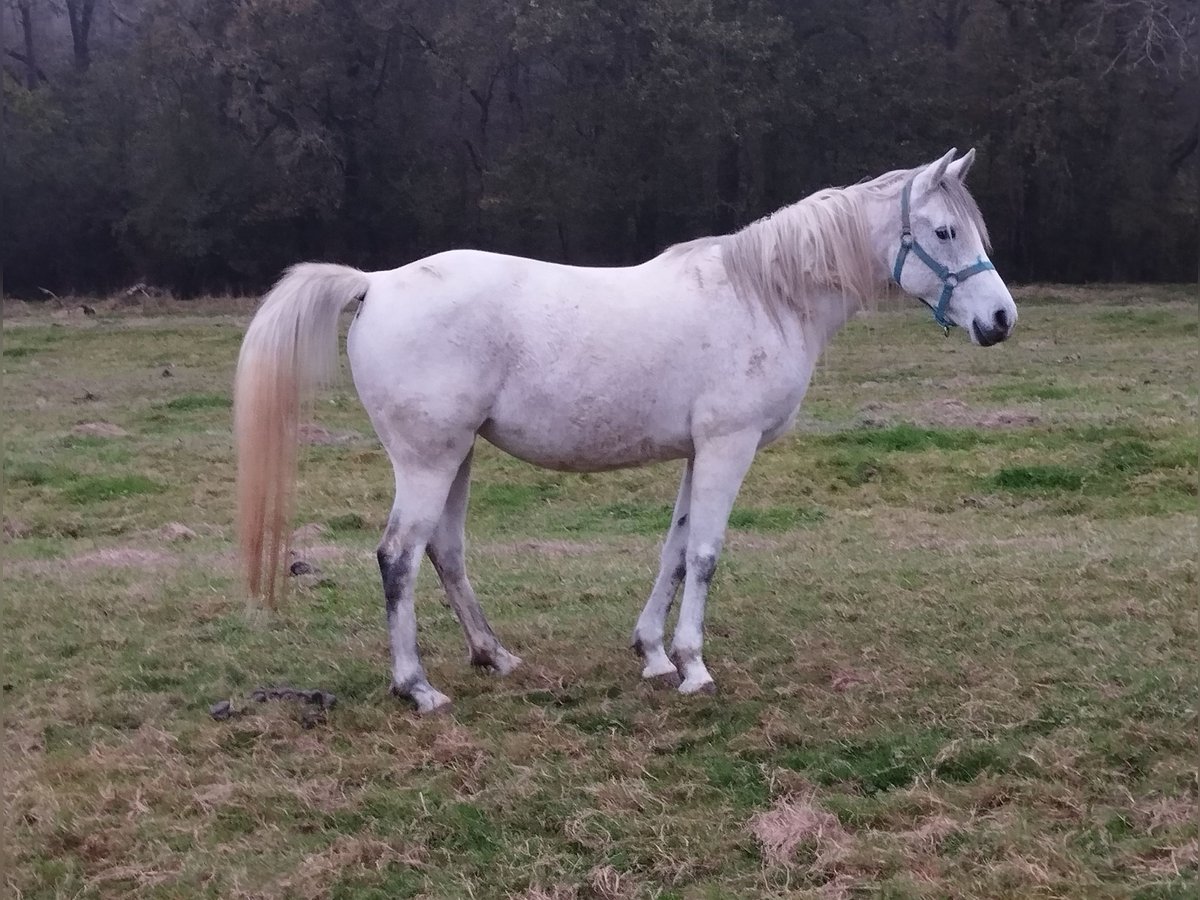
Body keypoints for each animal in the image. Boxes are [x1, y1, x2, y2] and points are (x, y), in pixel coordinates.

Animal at [231, 148, 1012, 710]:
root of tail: (376, 282)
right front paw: (695, 667)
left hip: (456, 457)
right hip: (427, 460)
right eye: (944, 232)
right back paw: (417, 688)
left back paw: (495, 656)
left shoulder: (699, 452)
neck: (765, 296)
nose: (1000, 320)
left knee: (444, 552)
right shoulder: (728, 446)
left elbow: (674, 550)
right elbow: (705, 554)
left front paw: (655, 654)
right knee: (398, 556)